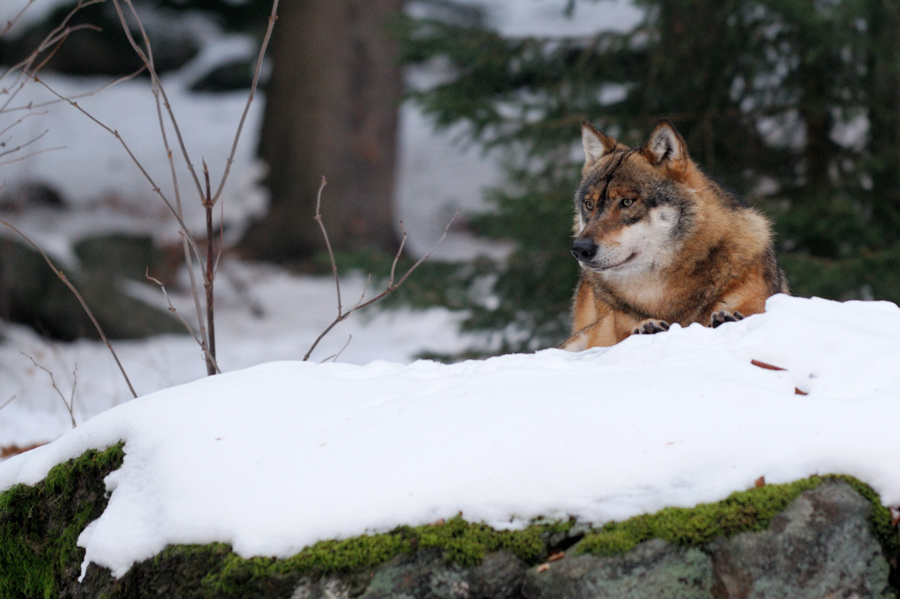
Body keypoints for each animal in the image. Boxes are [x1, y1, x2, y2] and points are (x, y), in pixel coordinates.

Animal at [562, 119, 789, 350]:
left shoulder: (756, 301)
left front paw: (728, 317)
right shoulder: (621, 330)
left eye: (627, 202)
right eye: (589, 204)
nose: (580, 250)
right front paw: (647, 326)